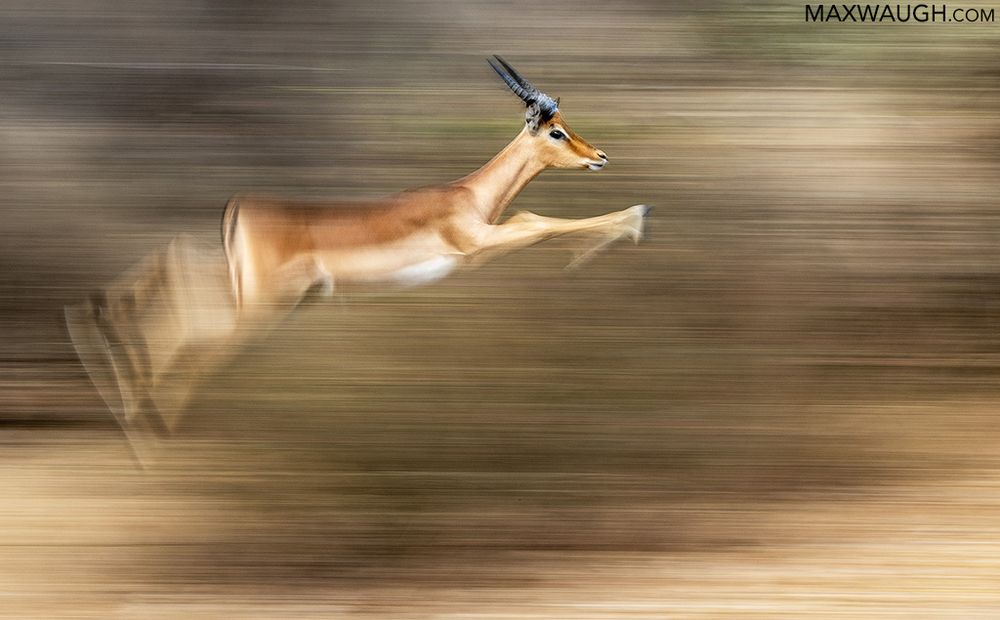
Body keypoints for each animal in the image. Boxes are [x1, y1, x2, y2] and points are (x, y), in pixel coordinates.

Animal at [66, 56, 651, 461]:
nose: (599, 156)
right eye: (556, 130)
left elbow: (536, 220)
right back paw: (146, 428)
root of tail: (242, 206)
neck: (468, 196)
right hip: (258, 308)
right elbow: (538, 221)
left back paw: (111, 368)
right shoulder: (476, 249)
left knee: (173, 271)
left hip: (252, 292)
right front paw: (635, 219)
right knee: (187, 338)